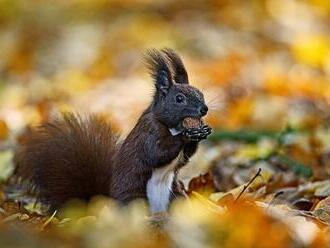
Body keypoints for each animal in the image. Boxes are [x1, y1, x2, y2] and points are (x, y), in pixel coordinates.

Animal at [13, 48, 211, 213]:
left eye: (200, 93)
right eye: (179, 99)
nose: (204, 109)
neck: (171, 126)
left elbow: (183, 159)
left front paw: (202, 132)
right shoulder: (149, 133)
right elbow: (157, 153)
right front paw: (187, 136)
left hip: (176, 196)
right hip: (135, 198)